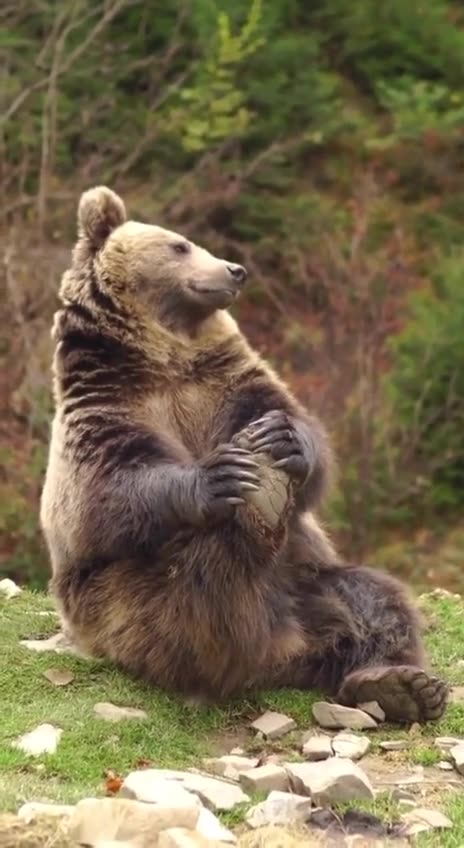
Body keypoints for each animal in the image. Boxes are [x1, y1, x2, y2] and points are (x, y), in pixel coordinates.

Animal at [40, 186, 448, 723]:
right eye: (180, 245)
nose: (235, 270)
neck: (163, 355)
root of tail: (283, 651)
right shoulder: (104, 406)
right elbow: (110, 489)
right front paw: (218, 476)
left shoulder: (225, 380)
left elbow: (291, 420)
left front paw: (285, 441)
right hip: (123, 606)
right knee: (193, 591)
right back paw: (248, 531)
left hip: (309, 578)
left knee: (374, 598)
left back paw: (400, 683)